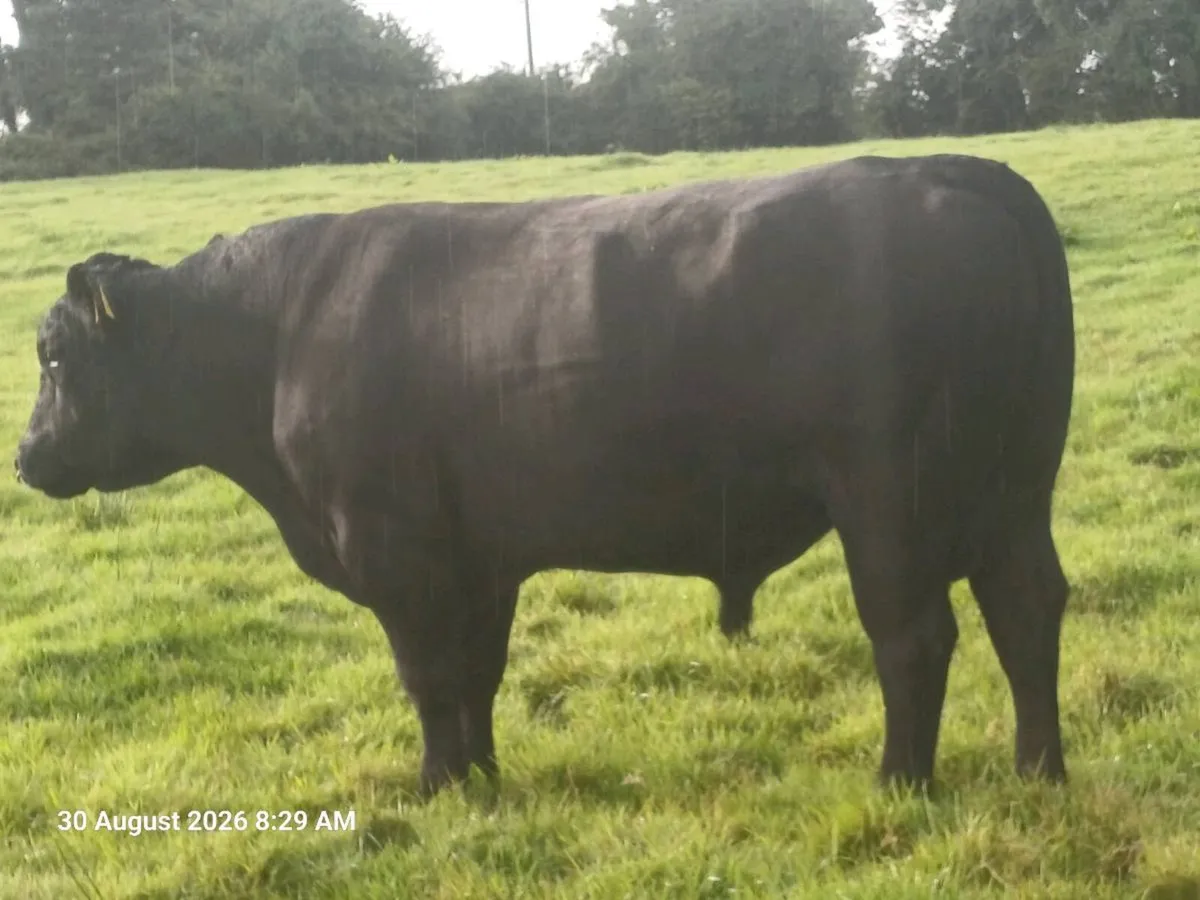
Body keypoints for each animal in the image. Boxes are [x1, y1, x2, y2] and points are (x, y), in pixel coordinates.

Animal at [14, 153, 1075, 797]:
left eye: (55, 355)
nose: (24, 457)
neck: (277, 335)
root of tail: (923, 167)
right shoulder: (478, 558)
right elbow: (476, 675)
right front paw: (480, 780)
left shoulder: (399, 554)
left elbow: (430, 676)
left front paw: (437, 787)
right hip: (1012, 494)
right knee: (1025, 609)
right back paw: (1039, 771)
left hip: (889, 499)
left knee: (914, 635)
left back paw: (902, 784)